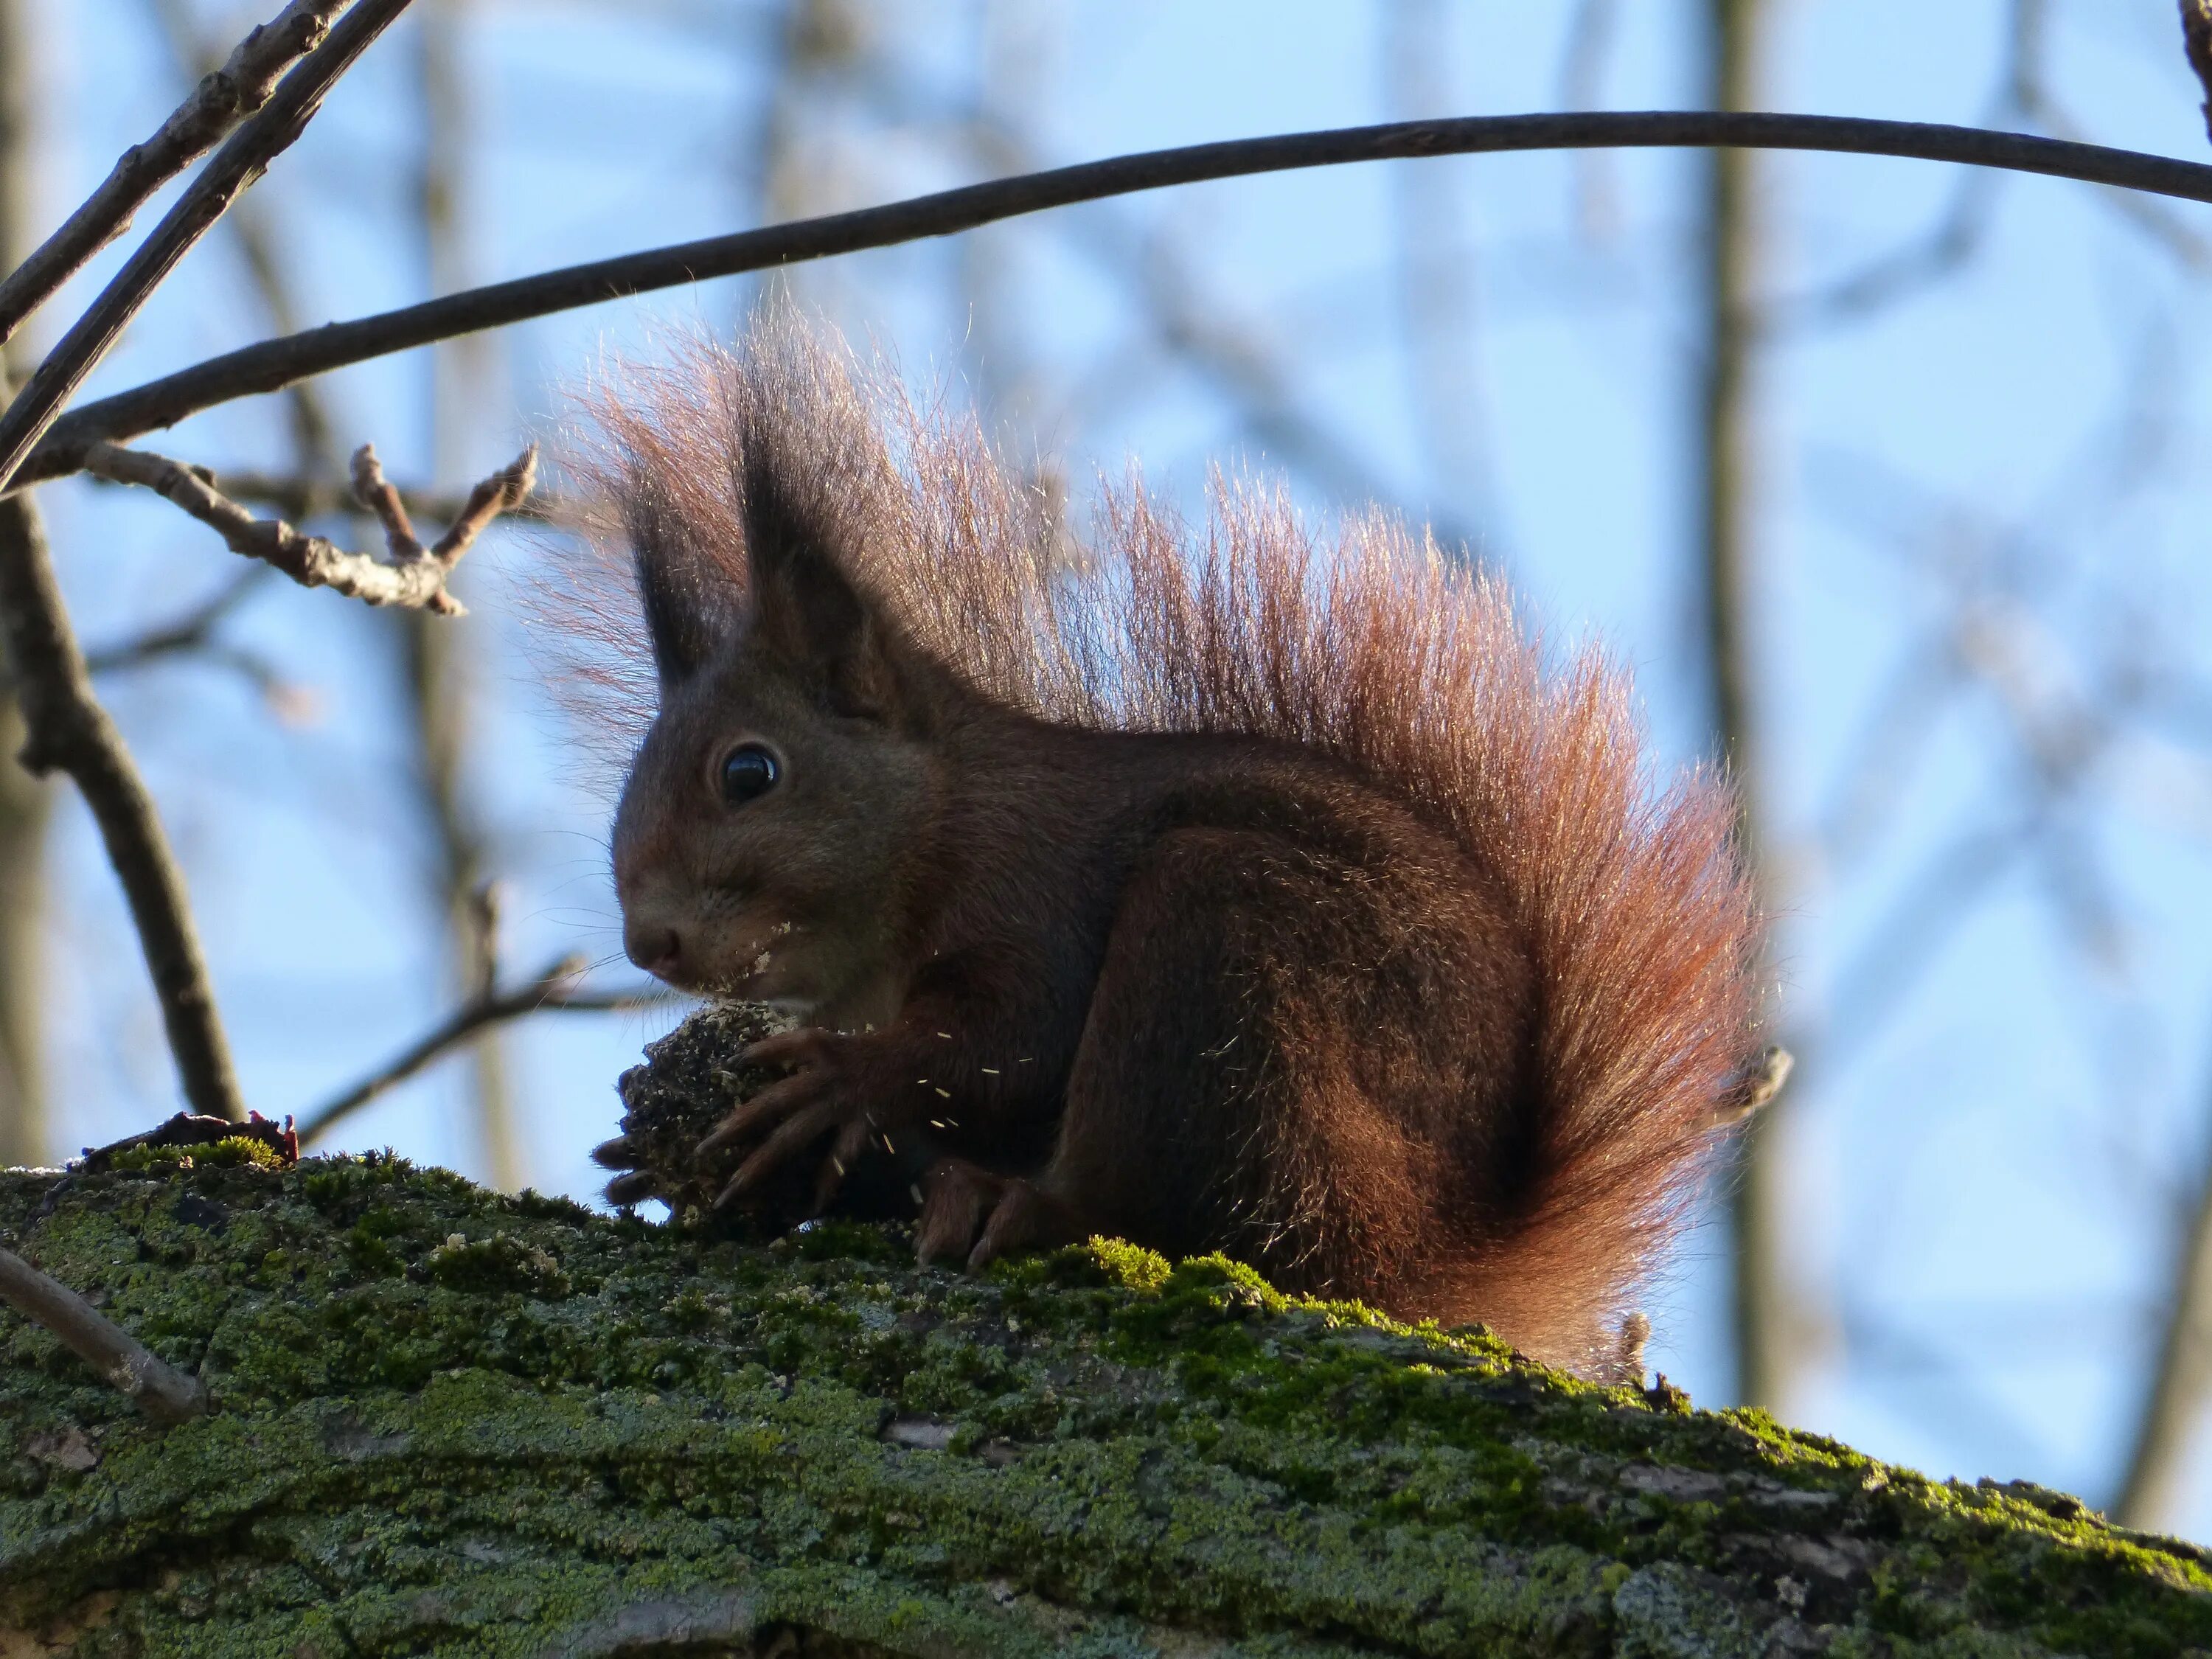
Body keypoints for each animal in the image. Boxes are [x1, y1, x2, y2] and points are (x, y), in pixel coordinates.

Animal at [575, 314, 1761, 1380]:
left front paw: (841, 1079)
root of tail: (1442, 1248)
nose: (650, 942)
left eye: (749, 773)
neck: (939, 815)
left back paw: (1022, 1203)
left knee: (1173, 1207)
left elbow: (1008, 1038)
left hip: (1227, 949)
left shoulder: (1029, 882)